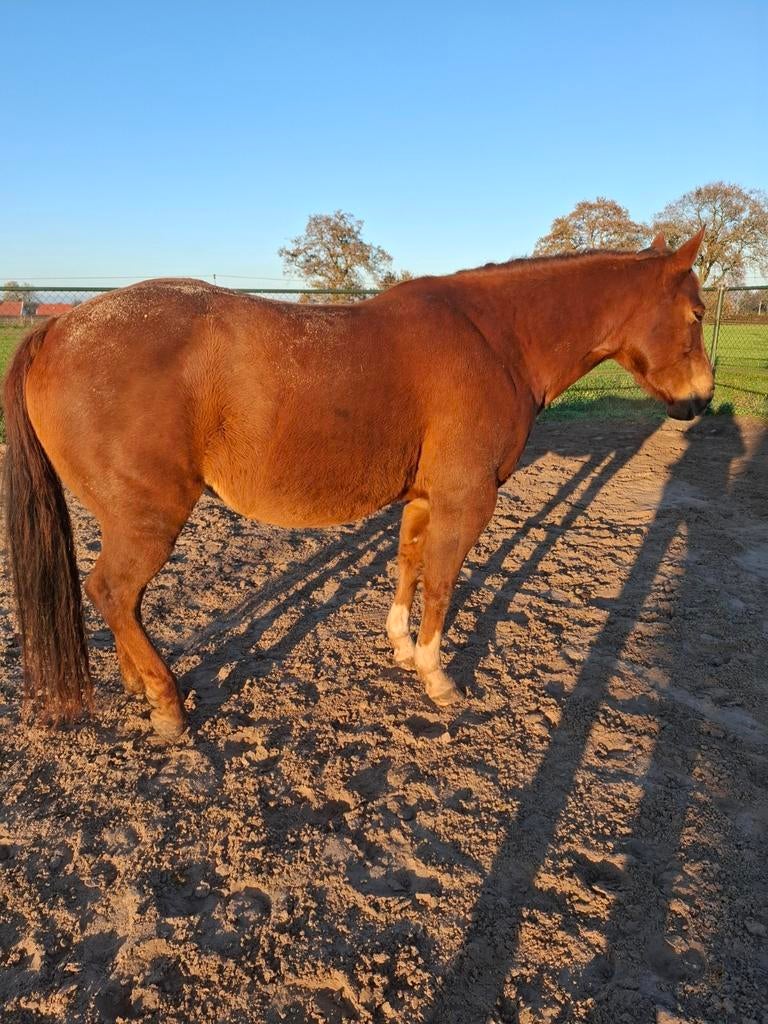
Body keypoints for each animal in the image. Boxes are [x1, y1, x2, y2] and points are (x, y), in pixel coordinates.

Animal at [2, 230, 713, 741]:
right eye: (697, 312)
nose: (701, 399)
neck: (495, 338)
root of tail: (59, 327)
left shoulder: (424, 497)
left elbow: (407, 565)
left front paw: (401, 646)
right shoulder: (467, 499)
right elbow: (442, 582)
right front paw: (436, 675)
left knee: (124, 601)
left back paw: (140, 685)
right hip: (149, 515)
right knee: (113, 592)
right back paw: (169, 704)